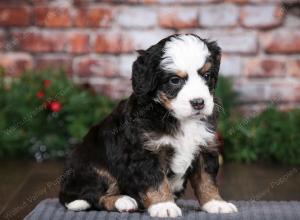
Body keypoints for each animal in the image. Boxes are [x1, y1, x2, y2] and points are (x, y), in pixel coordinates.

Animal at [59, 33, 238, 217]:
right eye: (174, 80)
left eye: (207, 76)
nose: (198, 103)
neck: (177, 117)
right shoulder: (146, 151)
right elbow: (156, 180)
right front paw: (164, 205)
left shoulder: (205, 147)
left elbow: (206, 179)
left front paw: (215, 203)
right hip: (93, 165)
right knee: (94, 195)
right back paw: (123, 201)